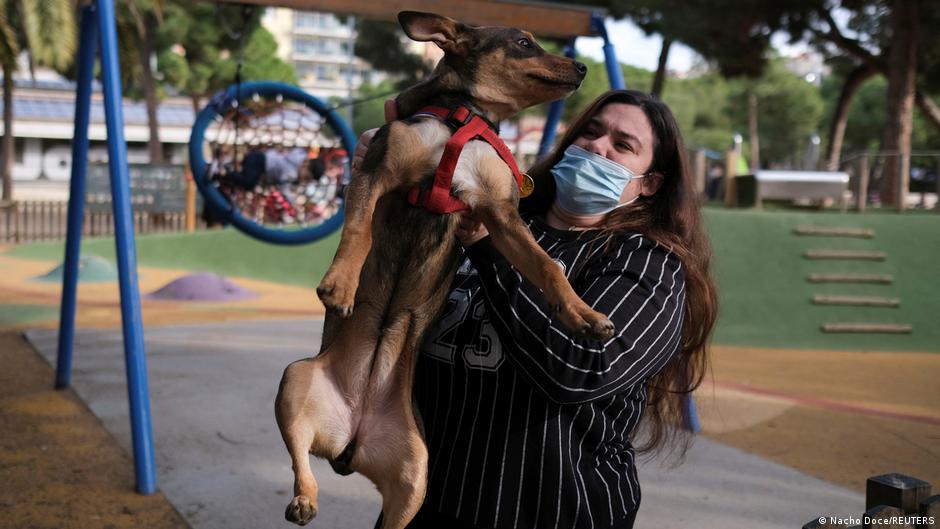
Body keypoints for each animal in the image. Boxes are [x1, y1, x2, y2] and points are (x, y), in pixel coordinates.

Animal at [276, 11, 615, 529]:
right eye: (523, 42)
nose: (581, 67)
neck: (467, 117)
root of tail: (351, 442)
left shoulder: (501, 217)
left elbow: (545, 268)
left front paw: (584, 316)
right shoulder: (375, 175)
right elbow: (359, 232)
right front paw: (342, 284)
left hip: (415, 480)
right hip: (295, 381)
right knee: (300, 461)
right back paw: (304, 499)